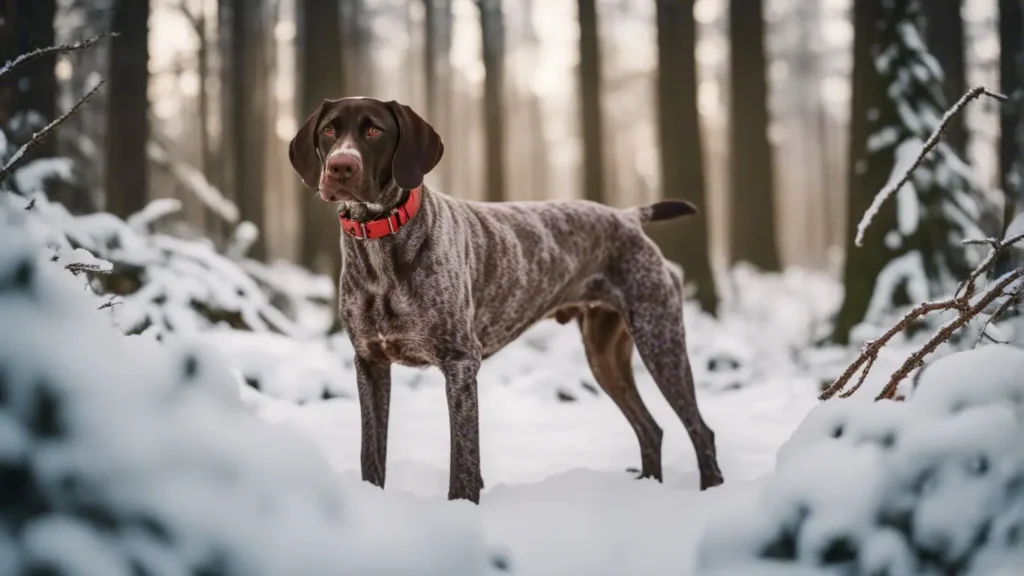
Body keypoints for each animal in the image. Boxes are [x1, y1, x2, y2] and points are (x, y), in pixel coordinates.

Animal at [284, 96, 724, 500]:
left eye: (375, 130)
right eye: (329, 130)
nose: (341, 166)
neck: (380, 243)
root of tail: (629, 217)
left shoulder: (460, 364)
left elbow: (463, 464)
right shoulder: (370, 363)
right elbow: (371, 458)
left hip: (660, 340)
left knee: (701, 430)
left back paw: (710, 491)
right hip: (606, 357)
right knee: (651, 429)